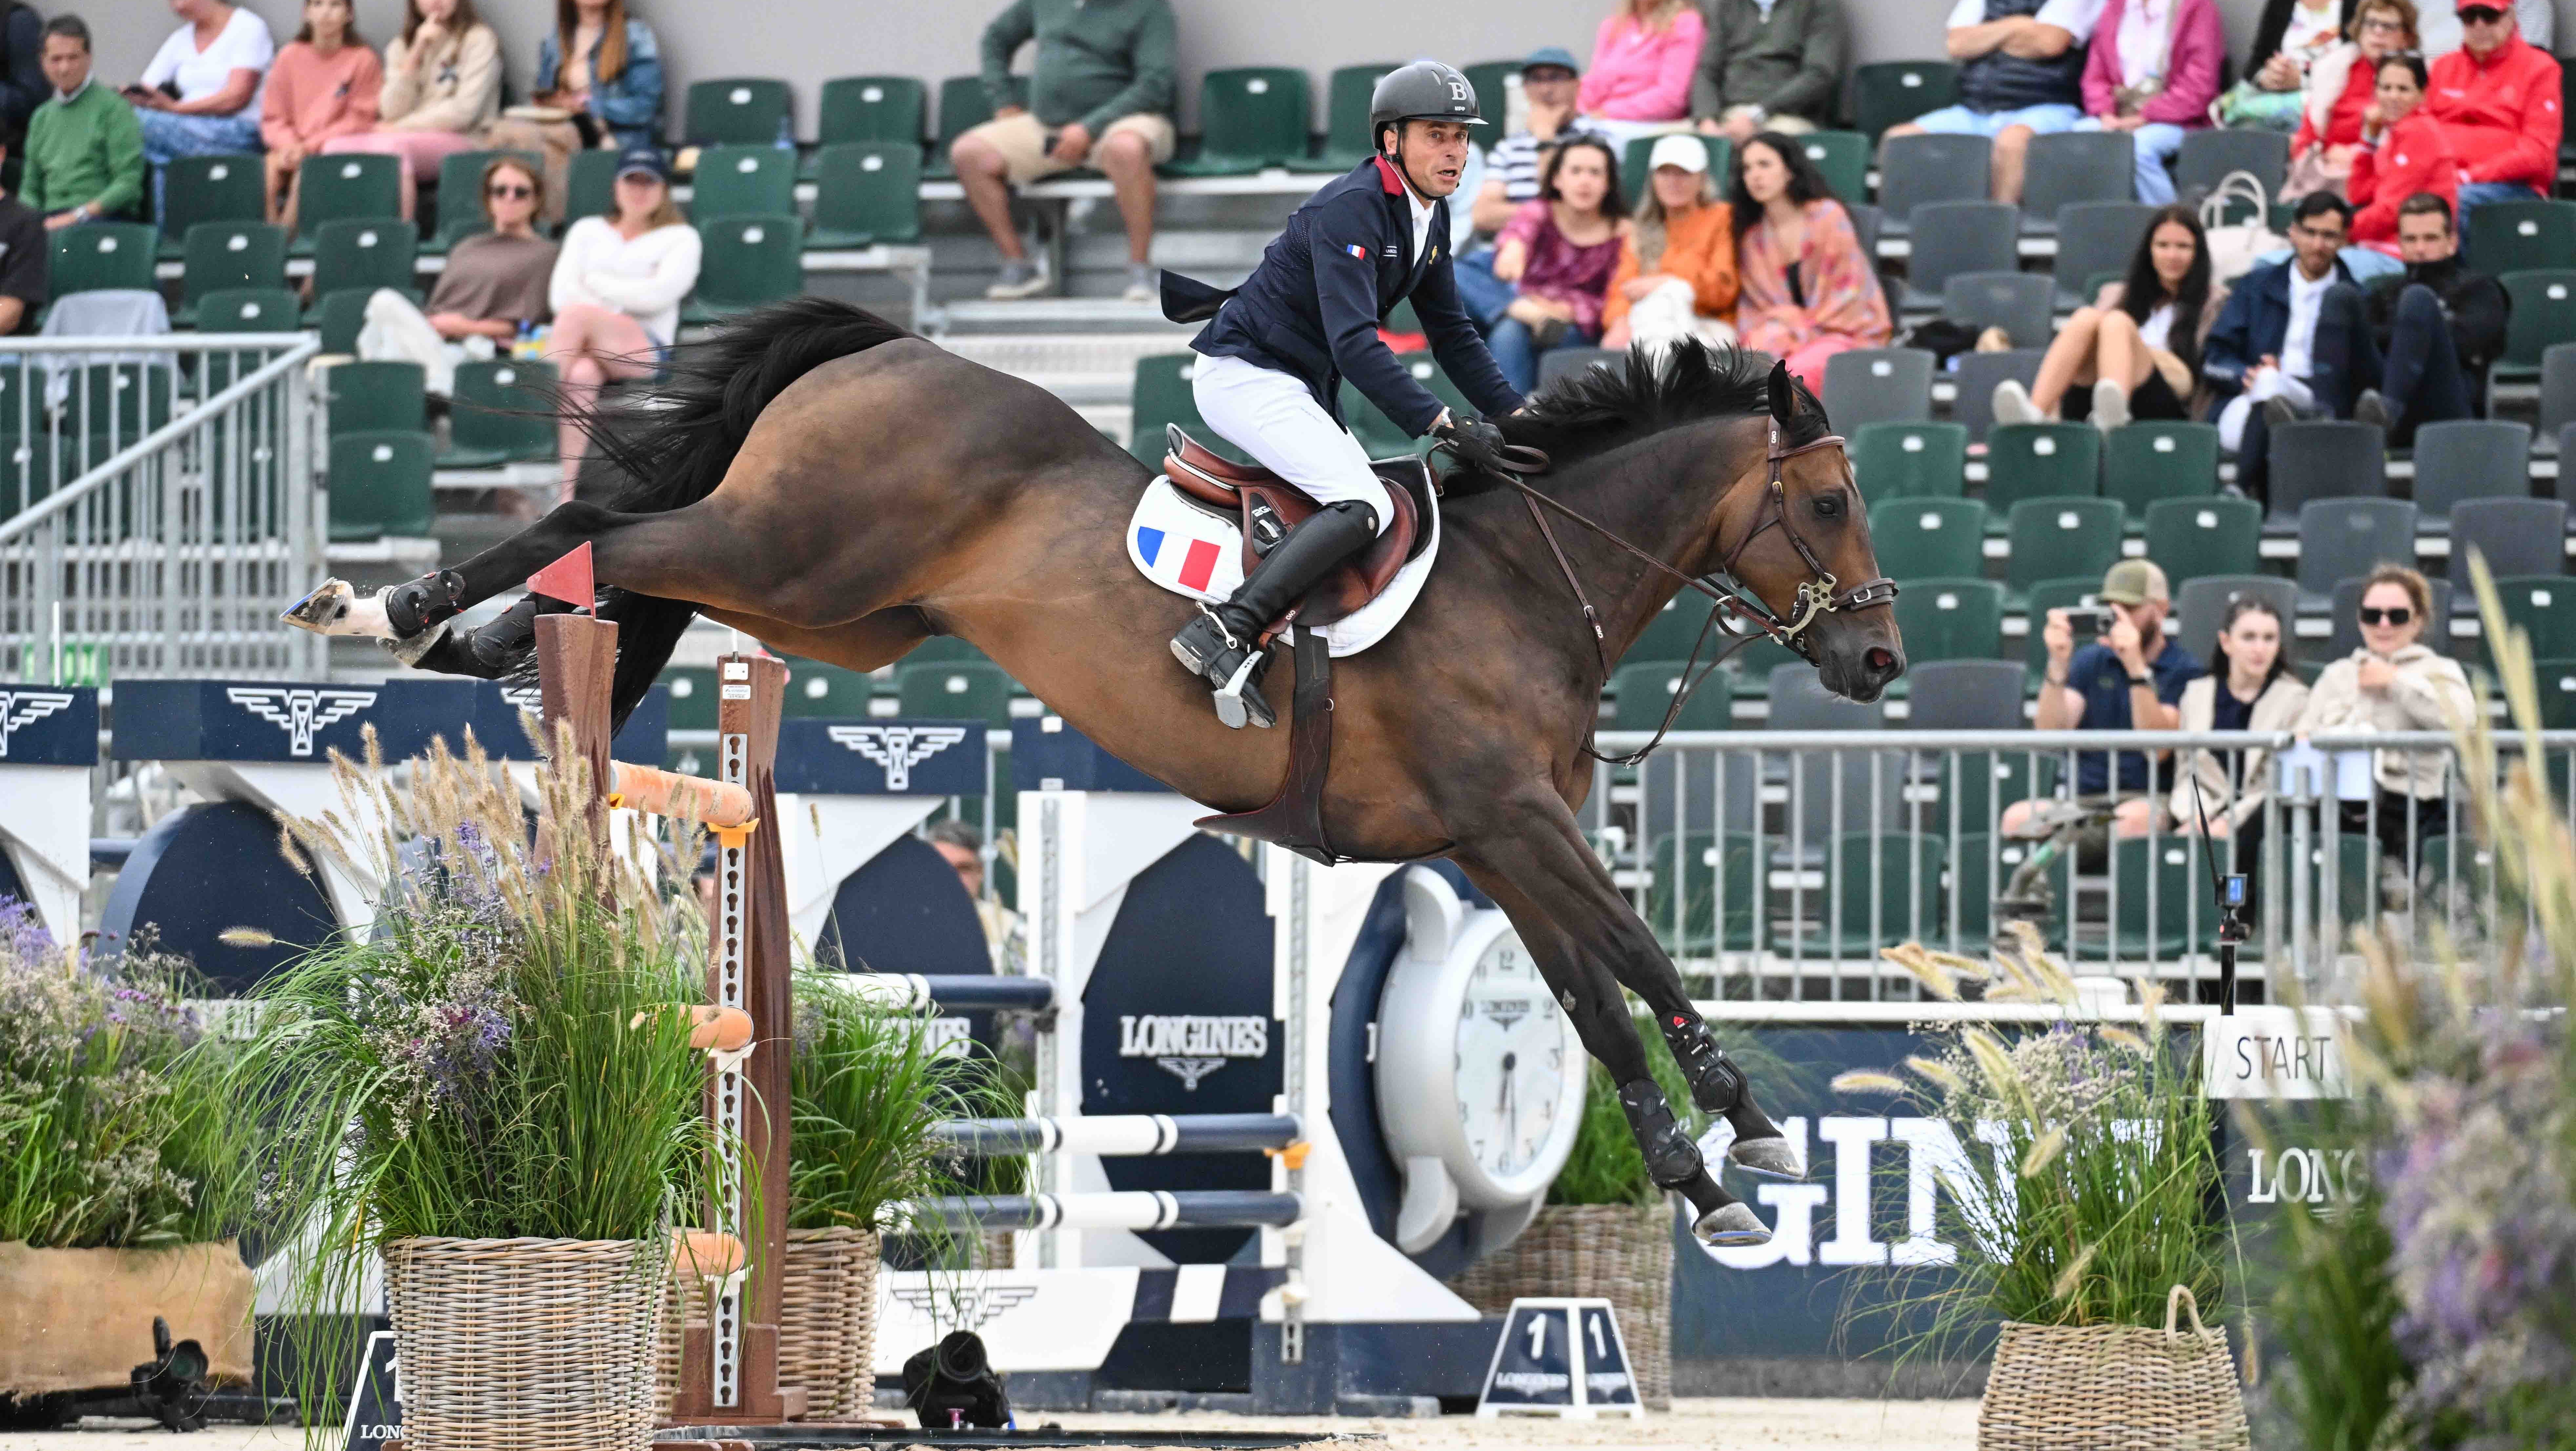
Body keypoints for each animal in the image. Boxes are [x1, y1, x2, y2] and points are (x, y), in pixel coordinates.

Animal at [285, 298, 1905, 1245]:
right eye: (1829, 500)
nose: (1883, 663)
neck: (1530, 579)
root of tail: (887, 348)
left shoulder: (1498, 840)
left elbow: (1590, 991)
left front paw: (1699, 1171)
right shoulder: (1511, 819)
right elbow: (1636, 949)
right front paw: (1754, 1130)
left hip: (835, 612)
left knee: (632, 557)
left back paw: (482, 643)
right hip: (793, 552)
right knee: (611, 530)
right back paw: (405, 612)